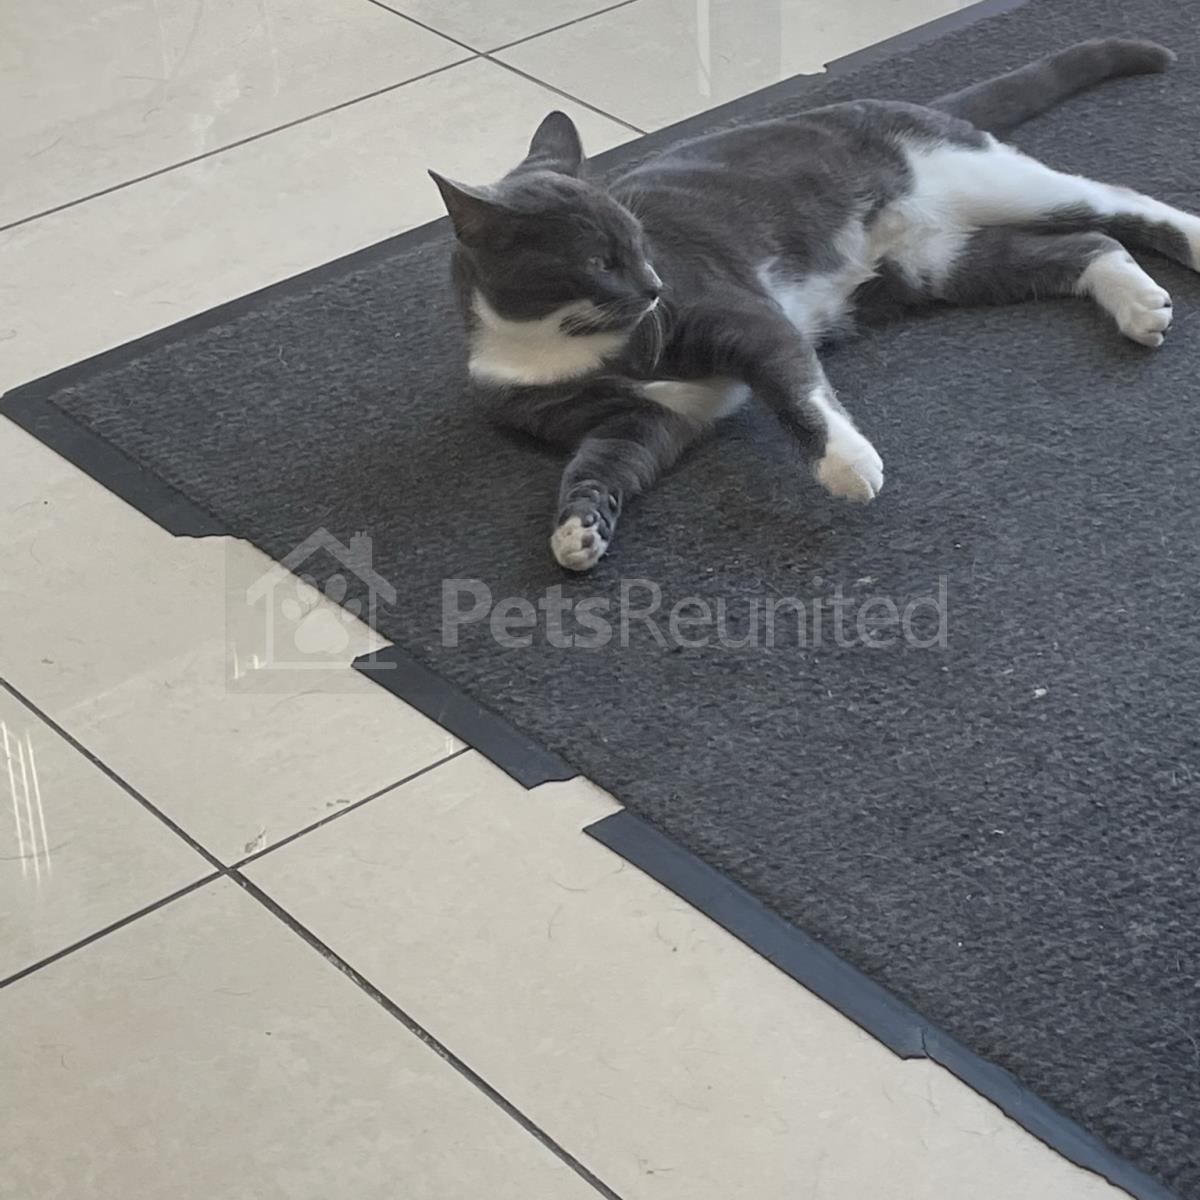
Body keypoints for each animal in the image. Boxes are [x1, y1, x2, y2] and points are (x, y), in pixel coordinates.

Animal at [430, 38, 1195, 571]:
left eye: (642, 242)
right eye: (599, 261)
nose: (653, 288)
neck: (561, 340)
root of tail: (908, 106)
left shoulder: (741, 316)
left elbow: (793, 386)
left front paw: (848, 466)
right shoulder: (641, 422)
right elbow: (598, 464)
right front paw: (577, 531)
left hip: (989, 182)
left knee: (1117, 201)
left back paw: (1189, 243)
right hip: (938, 263)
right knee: (1089, 242)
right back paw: (1138, 306)